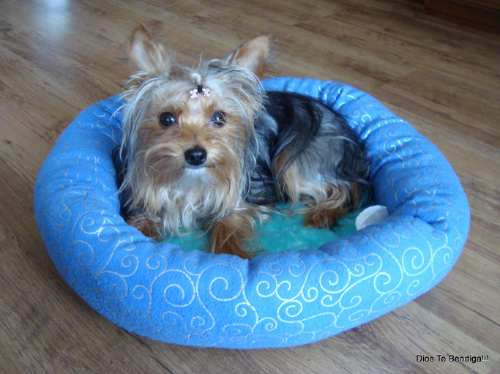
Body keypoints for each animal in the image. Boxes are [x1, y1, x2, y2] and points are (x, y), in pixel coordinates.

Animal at [118, 25, 368, 258]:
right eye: (166, 118)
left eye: (219, 117)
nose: (196, 155)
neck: (190, 182)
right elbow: (142, 221)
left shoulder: (243, 199)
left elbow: (227, 223)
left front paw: (230, 253)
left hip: (300, 159)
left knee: (344, 188)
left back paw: (321, 215)